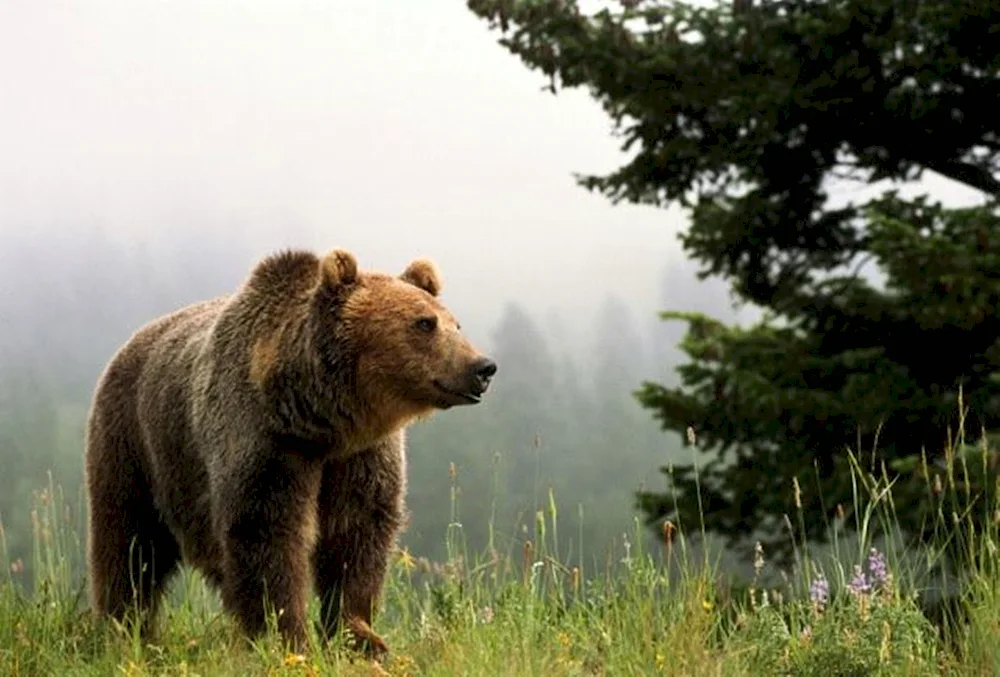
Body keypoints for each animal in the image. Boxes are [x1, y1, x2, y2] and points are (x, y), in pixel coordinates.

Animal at [84, 247, 498, 656]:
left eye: (455, 324)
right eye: (424, 323)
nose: (483, 367)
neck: (318, 420)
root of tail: (131, 341)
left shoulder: (360, 456)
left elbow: (357, 533)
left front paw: (360, 635)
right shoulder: (267, 444)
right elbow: (267, 533)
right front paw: (285, 636)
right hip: (134, 444)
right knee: (129, 543)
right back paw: (123, 628)